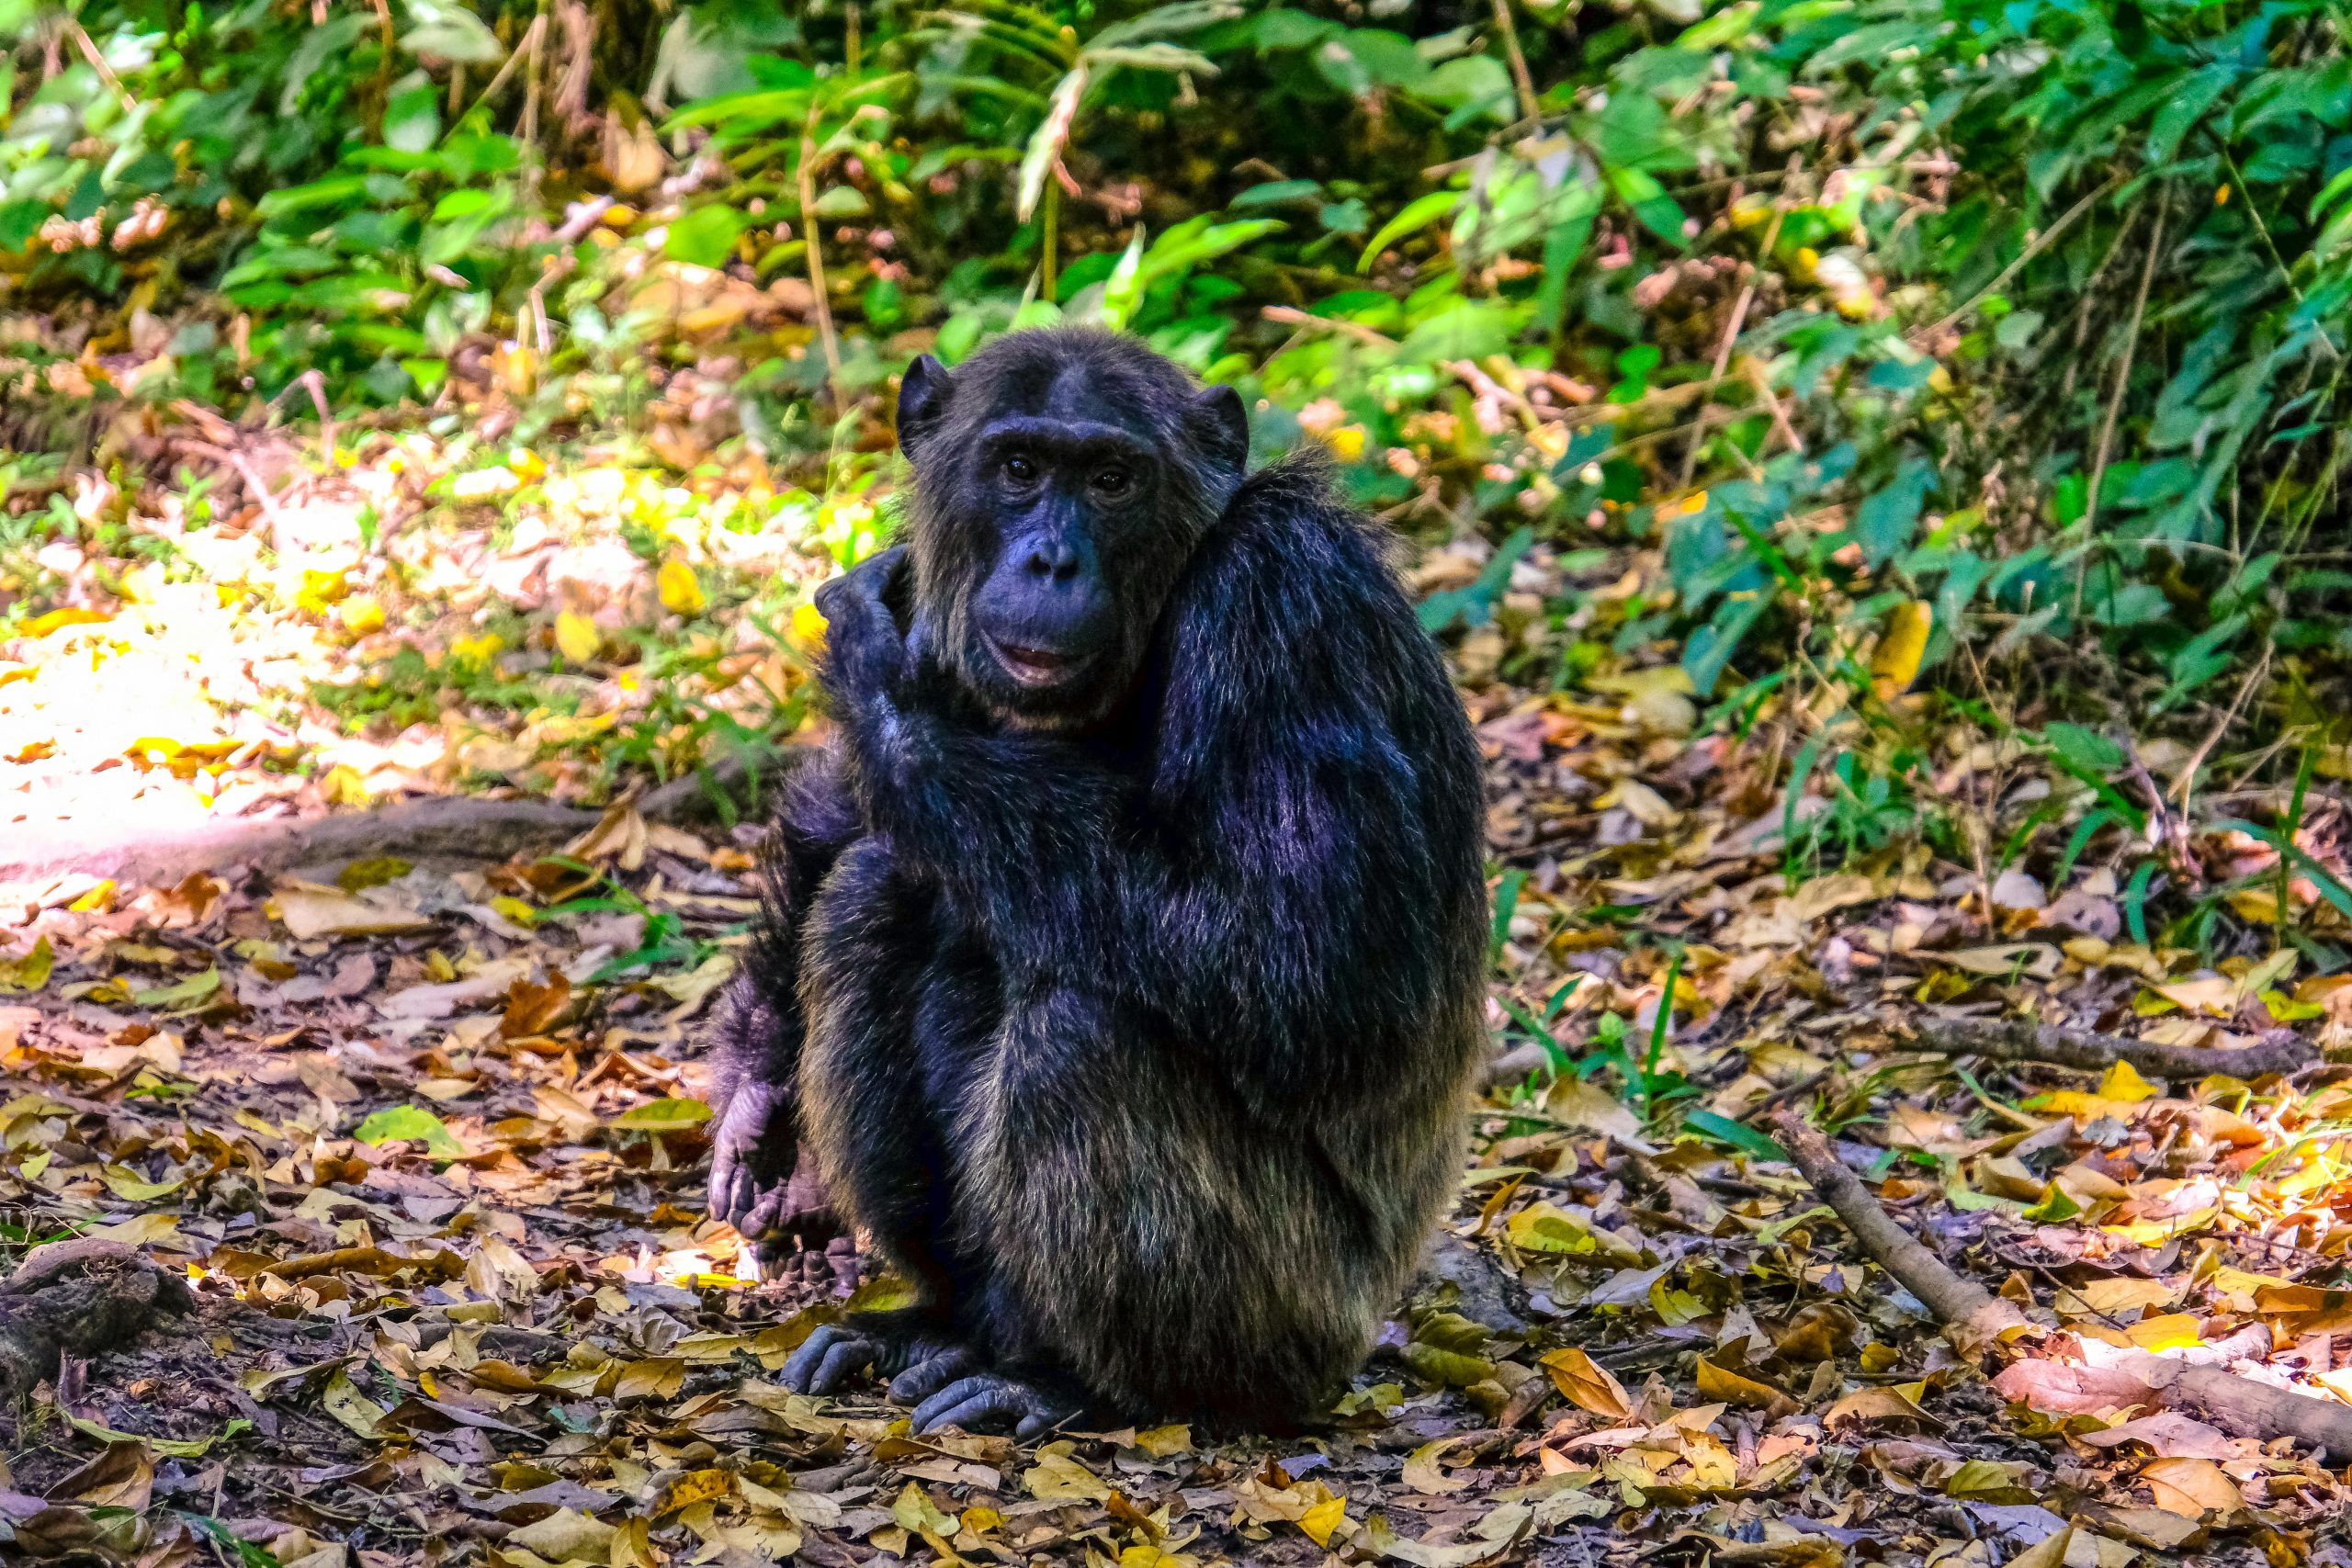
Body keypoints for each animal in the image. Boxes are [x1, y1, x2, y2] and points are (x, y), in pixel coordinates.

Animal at [704, 326, 1486, 1435]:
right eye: (1019, 467)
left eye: (1112, 480)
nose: (1051, 555)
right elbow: (846, 818)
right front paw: (762, 1095)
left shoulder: (1287, 604)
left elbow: (1313, 960)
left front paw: (877, 672)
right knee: (870, 894)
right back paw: (931, 1329)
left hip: (1301, 1328)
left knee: (1082, 1038)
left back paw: (1072, 1384)